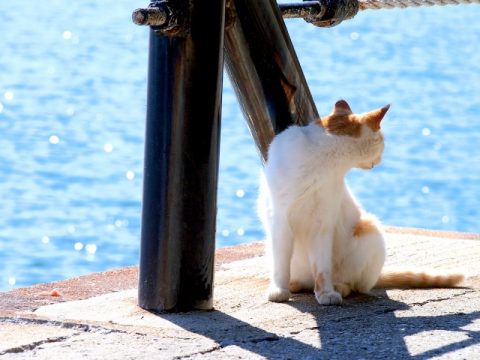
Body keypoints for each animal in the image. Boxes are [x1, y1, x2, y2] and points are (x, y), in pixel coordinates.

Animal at [258, 99, 464, 306]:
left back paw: (338, 287)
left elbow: (322, 267)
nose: (380, 159)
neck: (322, 162)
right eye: (382, 142)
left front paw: (326, 293)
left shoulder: (322, 224)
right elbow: (280, 263)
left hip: (370, 228)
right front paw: (279, 290)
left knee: (355, 285)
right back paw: (294, 284)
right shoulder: (280, 221)